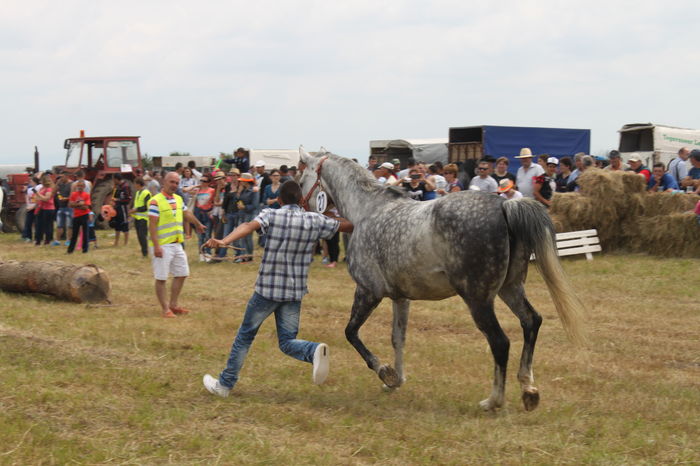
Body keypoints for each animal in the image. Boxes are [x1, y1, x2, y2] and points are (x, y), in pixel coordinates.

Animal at [298, 148, 585, 411]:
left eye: (300, 180)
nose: (299, 209)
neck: (366, 211)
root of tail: (504, 205)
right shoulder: (400, 298)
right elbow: (397, 338)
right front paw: (396, 380)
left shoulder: (368, 292)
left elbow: (351, 333)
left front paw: (385, 373)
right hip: (510, 288)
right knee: (531, 321)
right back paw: (528, 389)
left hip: (478, 299)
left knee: (500, 342)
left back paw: (493, 400)